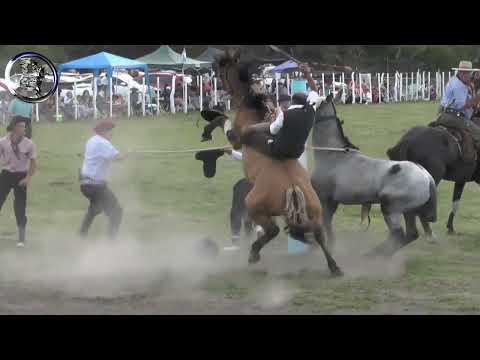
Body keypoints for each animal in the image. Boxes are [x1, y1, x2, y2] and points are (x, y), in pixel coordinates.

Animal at [312, 95, 438, 256]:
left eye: (313, 101)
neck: (332, 155)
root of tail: (428, 178)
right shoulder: (333, 201)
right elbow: (327, 225)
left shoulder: (325, 199)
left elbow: (325, 225)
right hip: (409, 211)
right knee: (410, 234)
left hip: (390, 207)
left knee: (398, 235)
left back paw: (373, 255)